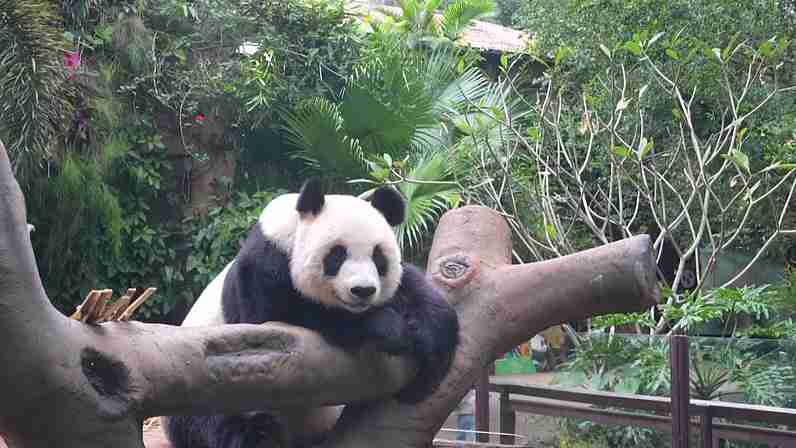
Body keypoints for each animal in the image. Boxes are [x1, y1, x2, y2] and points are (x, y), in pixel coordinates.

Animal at [162, 177, 460, 448]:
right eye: (337, 255)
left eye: (378, 257)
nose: (362, 290)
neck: (292, 231)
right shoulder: (264, 264)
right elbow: (278, 319)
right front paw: (388, 327)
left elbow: (415, 291)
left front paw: (431, 342)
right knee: (218, 425)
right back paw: (259, 435)